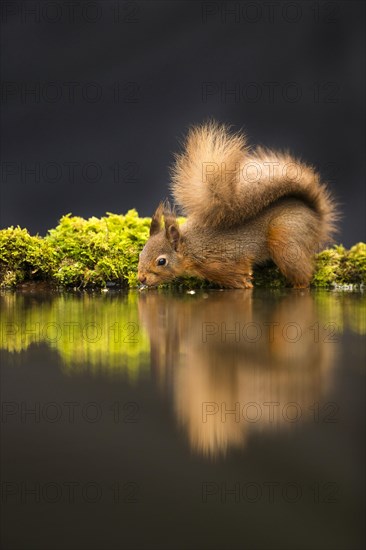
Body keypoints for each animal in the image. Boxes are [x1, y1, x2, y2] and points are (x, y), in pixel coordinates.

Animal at [137, 121, 338, 288]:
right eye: (140, 253)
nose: (141, 278)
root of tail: (317, 217)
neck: (191, 249)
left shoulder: (225, 262)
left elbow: (239, 278)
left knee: (303, 276)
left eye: (161, 261)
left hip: (287, 236)